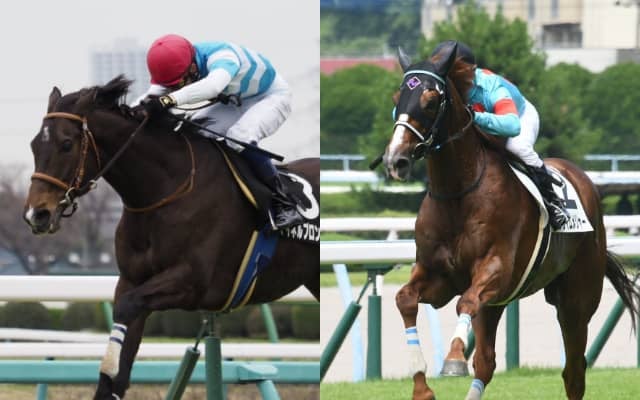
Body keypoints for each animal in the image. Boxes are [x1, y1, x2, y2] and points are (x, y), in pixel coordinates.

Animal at [22, 76, 319, 400]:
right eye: (34, 144)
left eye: (66, 144)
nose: (36, 214)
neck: (166, 190)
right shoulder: (132, 279)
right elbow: (121, 347)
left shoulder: (192, 282)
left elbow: (126, 307)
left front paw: (110, 367)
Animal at [380, 44, 639, 400]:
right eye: (397, 98)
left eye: (430, 100)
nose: (395, 160)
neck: (459, 192)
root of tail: (584, 180)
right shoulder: (437, 276)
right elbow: (405, 299)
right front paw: (422, 387)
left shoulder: (497, 268)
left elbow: (465, 301)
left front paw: (453, 359)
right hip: (499, 304)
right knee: (486, 363)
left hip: (576, 299)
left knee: (574, 371)